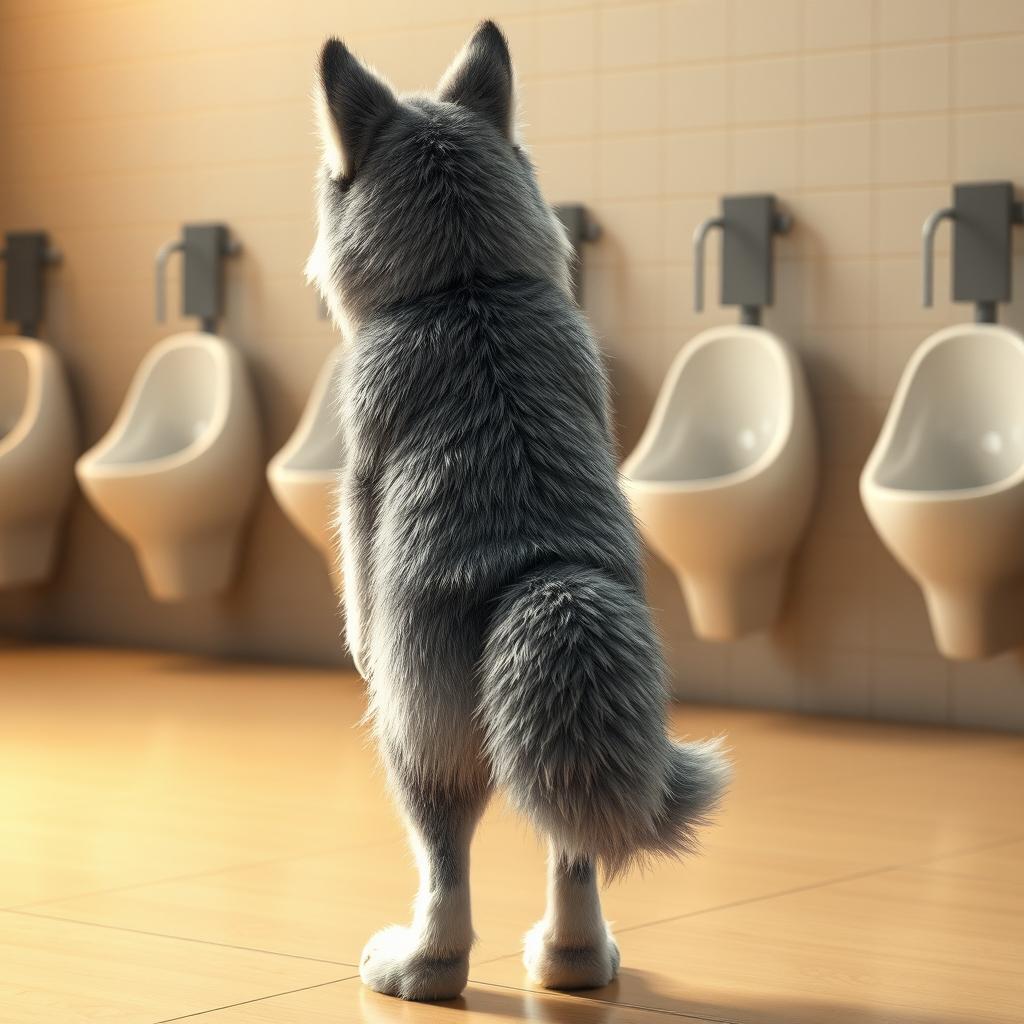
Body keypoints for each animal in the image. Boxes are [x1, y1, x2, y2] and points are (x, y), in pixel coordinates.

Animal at [306, 20, 730, 1001]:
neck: (468, 284)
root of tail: (541, 580)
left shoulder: (362, 449)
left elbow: (355, 558)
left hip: (416, 737)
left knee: (445, 868)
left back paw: (419, 967)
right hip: (581, 734)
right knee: (573, 851)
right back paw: (576, 960)